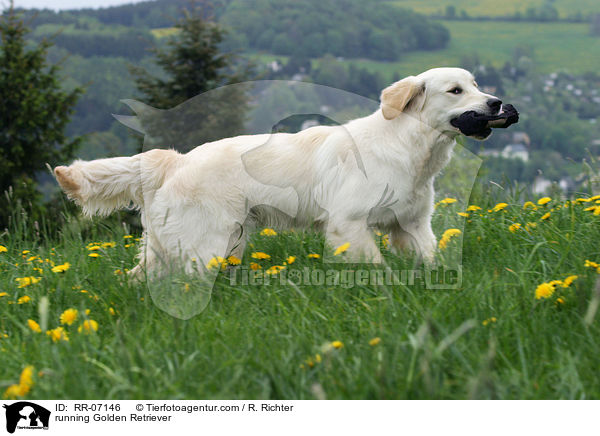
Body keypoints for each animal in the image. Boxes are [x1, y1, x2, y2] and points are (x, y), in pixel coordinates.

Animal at [56, 68, 504, 278]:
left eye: (476, 84)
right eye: (455, 91)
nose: (498, 103)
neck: (408, 146)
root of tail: (177, 159)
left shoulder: (411, 224)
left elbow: (429, 256)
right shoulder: (348, 223)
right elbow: (374, 265)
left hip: (196, 242)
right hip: (207, 241)